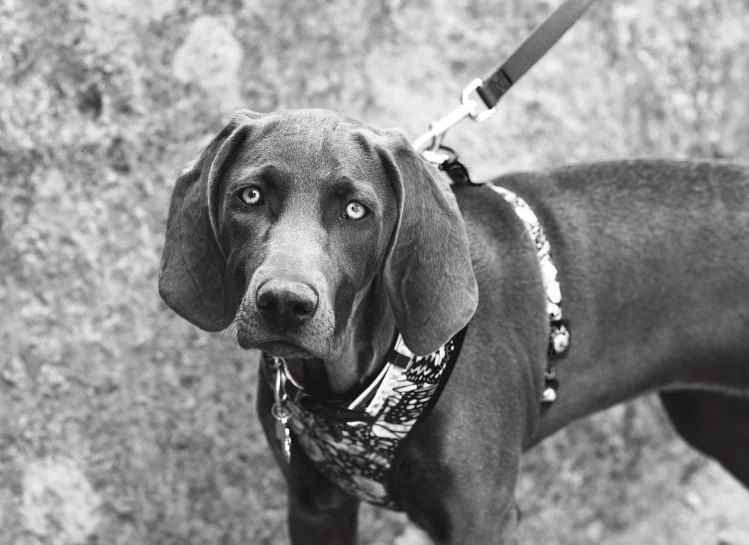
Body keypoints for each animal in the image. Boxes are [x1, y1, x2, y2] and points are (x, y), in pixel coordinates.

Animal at [159, 108, 748, 540]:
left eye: (356, 210)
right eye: (250, 195)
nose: (284, 303)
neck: (360, 376)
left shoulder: (481, 519)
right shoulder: (313, 507)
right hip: (712, 418)